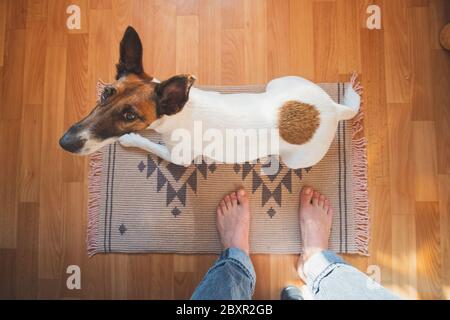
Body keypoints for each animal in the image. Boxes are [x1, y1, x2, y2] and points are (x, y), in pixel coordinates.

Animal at [59, 26, 362, 170]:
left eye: (130, 116)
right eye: (105, 93)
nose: (64, 143)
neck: (178, 113)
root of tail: (332, 109)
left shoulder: (179, 157)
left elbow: (151, 145)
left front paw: (132, 139)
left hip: (297, 159)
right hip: (279, 82)